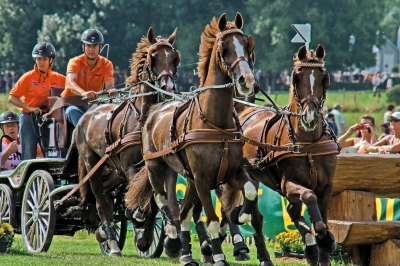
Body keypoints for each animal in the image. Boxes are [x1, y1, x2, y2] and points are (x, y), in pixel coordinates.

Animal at [74, 26, 180, 256]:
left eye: (174, 58)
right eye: (152, 57)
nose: (168, 85)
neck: (144, 120)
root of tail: (87, 115)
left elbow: (154, 200)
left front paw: (146, 237)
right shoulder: (130, 167)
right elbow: (143, 197)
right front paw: (138, 216)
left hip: (114, 171)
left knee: (106, 194)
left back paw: (105, 232)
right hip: (92, 164)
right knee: (101, 202)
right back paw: (112, 242)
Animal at [126, 13, 276, 266]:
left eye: (247, 45)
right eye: (224, 48)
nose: (246, 80)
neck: (215, 123)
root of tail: (155, 110)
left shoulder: (232, 173)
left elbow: (249, 193)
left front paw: (242, 214)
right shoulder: (203, 179)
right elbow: (212, 220)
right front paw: (219, 256)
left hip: (188, 178)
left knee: (185, 212)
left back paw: (186, 253)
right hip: (156, 166)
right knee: (162, 199)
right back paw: (173, 239)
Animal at [239, 44, 340, 264]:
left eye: (323, 78)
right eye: (297, 78)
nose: (309, 118)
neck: (308, 143)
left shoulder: (327, 185)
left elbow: (322, 219)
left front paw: (324, 248)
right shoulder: (288, 184)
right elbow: (309, 198)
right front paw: (323, 241)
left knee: (293, 211)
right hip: (251, 177)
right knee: (257, 217)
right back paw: (265, 256)